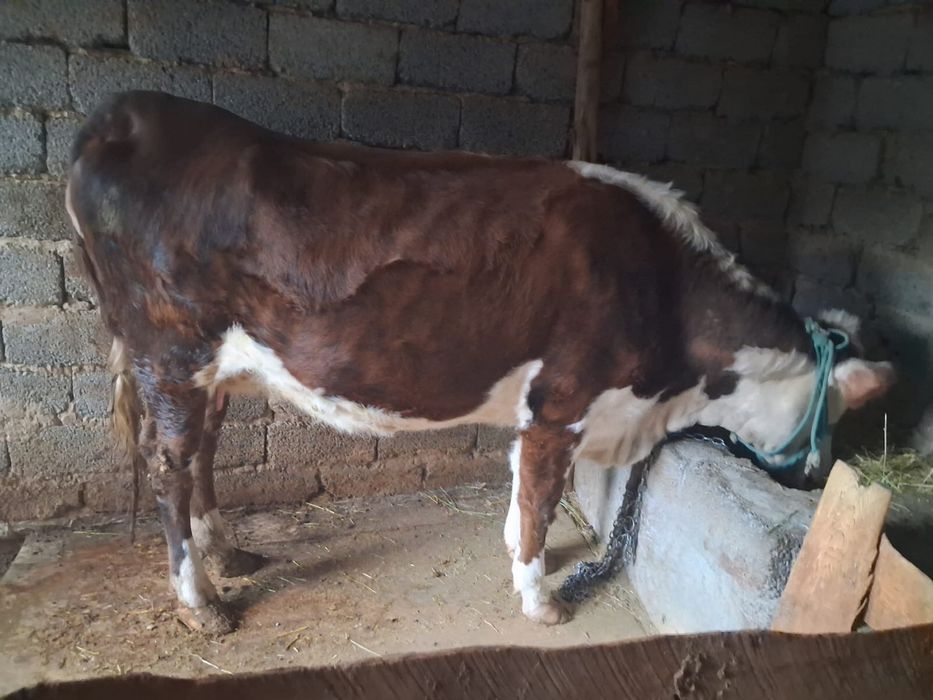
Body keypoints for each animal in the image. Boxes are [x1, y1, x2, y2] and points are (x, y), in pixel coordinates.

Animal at [66, 91, 894, 634]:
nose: (817, 477)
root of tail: (126, 113)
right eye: (841, 413)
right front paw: (540, 598)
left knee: (202, 451)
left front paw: (515, 557)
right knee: (171, 462)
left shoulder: (542, 408)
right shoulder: (564, 399)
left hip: (205, 367)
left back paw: (228, 556)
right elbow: (540, 495)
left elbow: (519, 485)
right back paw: (202, 604)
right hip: (170, 350)